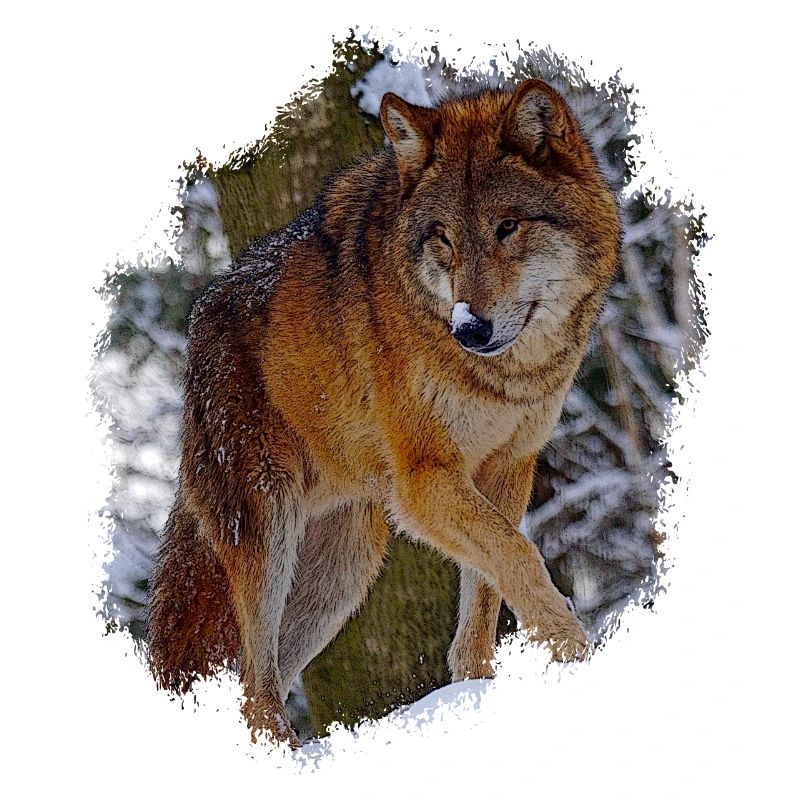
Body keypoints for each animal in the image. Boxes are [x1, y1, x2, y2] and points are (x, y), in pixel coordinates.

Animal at [147, 78, 621, 746]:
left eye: (507, 226)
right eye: (443, 237)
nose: (469, 329)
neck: (506, 377)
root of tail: (201, 318)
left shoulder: (508, 468)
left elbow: (488, 594)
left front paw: (476, 689)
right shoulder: (425, 482)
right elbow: (521, 558)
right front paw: (578, 656)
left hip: (341, 570)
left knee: (258, 677)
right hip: (267, 533)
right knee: (255, 688)